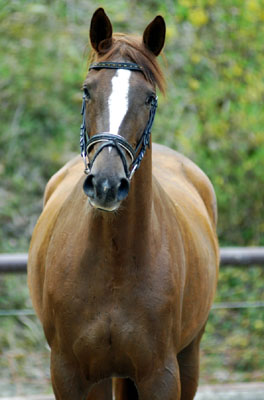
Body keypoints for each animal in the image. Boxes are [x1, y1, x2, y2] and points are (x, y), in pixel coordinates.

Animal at [28, 8, 219, 400]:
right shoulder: (68, 374)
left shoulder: (161, 376)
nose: (106, 185)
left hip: (188, 356)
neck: (113, 263)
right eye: (87, 91)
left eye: (148, 98)